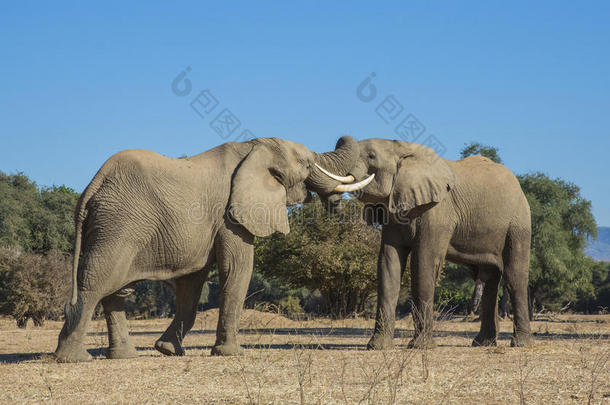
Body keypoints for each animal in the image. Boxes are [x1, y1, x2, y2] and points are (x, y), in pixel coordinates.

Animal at [54, 137, 368, 362]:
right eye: (305, 164)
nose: (335, 205)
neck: (253, 146)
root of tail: (92, 187)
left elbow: (192, 284)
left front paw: (167, 350)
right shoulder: (230, 215)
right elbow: (238, 268)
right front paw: (231, 354)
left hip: (112, 225)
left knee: (116, 289)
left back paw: (123, 357)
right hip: (120, 224)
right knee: (97, 283)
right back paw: (73, 359)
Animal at [338, 139, 532, 348]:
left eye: (371, 156)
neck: (404, 149)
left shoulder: (437, 211)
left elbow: (423, 262)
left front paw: (419, 347)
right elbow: (388, 263)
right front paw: (377, 347)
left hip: (518, 224)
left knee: (514, 276)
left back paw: (520, 344)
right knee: (488, 278)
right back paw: (482, 343)